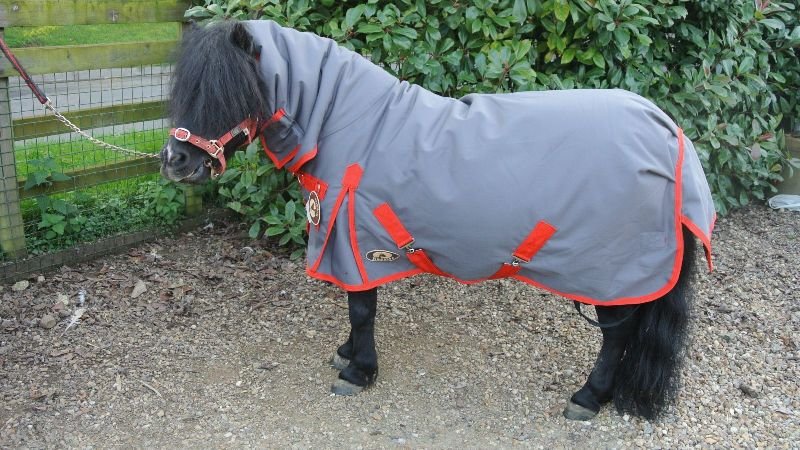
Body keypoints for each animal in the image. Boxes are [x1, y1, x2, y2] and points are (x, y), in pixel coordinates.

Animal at [160, 20, 716, 421]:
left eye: (231, 91)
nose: (174, 161)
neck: (347, 123)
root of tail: (669, 133)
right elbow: (355, 308)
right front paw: (346, 354)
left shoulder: (356, 242)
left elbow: (361, 309)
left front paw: (359, 371)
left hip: (614, 273)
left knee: (617, 335)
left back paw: (588, 398)